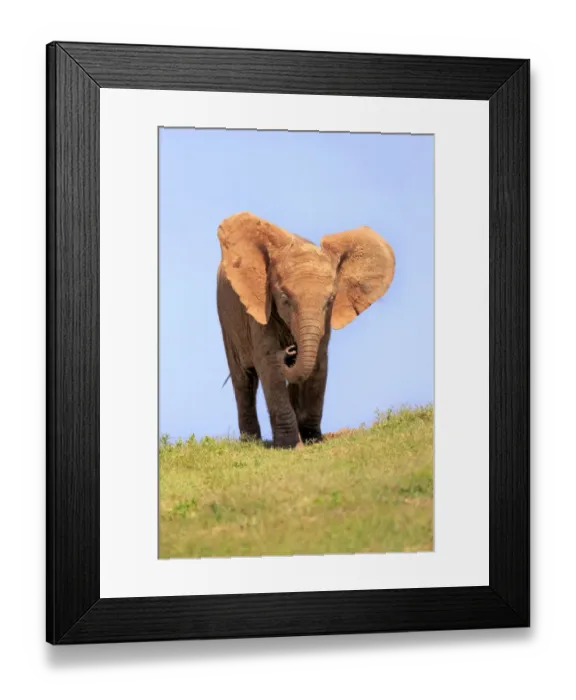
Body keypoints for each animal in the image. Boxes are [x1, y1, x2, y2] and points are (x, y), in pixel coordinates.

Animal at [216, 211, 396, 449]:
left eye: (330, 300)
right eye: (284, 299)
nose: (291, 351)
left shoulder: (325, 321)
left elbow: (318, 362)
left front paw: (314, 441)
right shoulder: (259, 309)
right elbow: (269, 363)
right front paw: (291, 446)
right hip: (227, 320)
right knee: (244, 380)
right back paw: (250, 442)